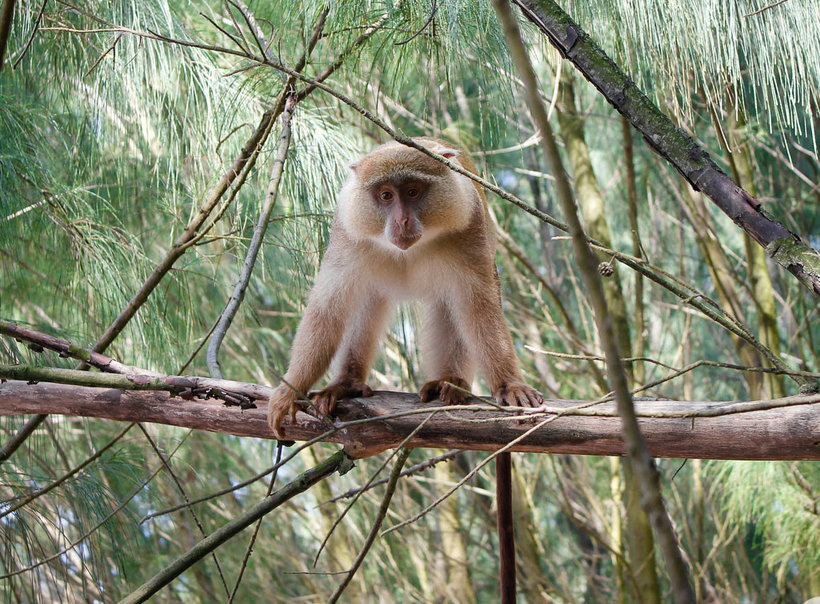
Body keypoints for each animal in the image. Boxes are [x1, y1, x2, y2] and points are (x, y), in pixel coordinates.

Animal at [270, 139, 544, 436]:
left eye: (413, 192)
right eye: (386, 196)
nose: (402, 221)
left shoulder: (469, 225)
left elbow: (477, 305)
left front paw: (510, 384)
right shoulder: (347, 231)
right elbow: (328, 308)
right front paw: (290, 389)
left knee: (453, 306)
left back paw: (450, 380)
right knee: (365, 301)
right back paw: (347, 382)